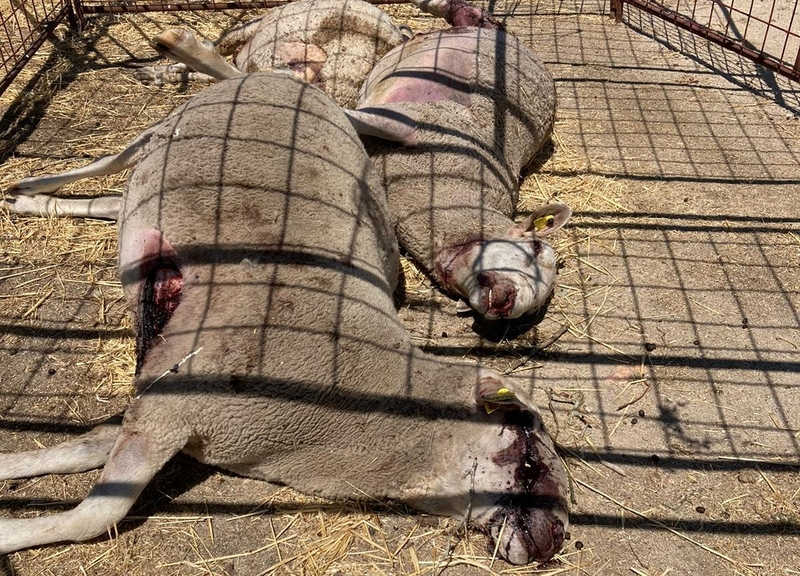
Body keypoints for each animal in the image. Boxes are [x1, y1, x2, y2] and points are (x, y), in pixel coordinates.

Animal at [0, 71, 568, 565]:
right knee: (99, 167)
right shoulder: (172, 404)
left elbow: (84, 446)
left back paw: (35, 204)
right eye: (528, 454)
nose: (558, 537)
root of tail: (286, 79)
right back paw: (29, 185)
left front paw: (11, 468)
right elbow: (94, 517)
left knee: (110, 201)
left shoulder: (169, 406)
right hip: (161, 129)